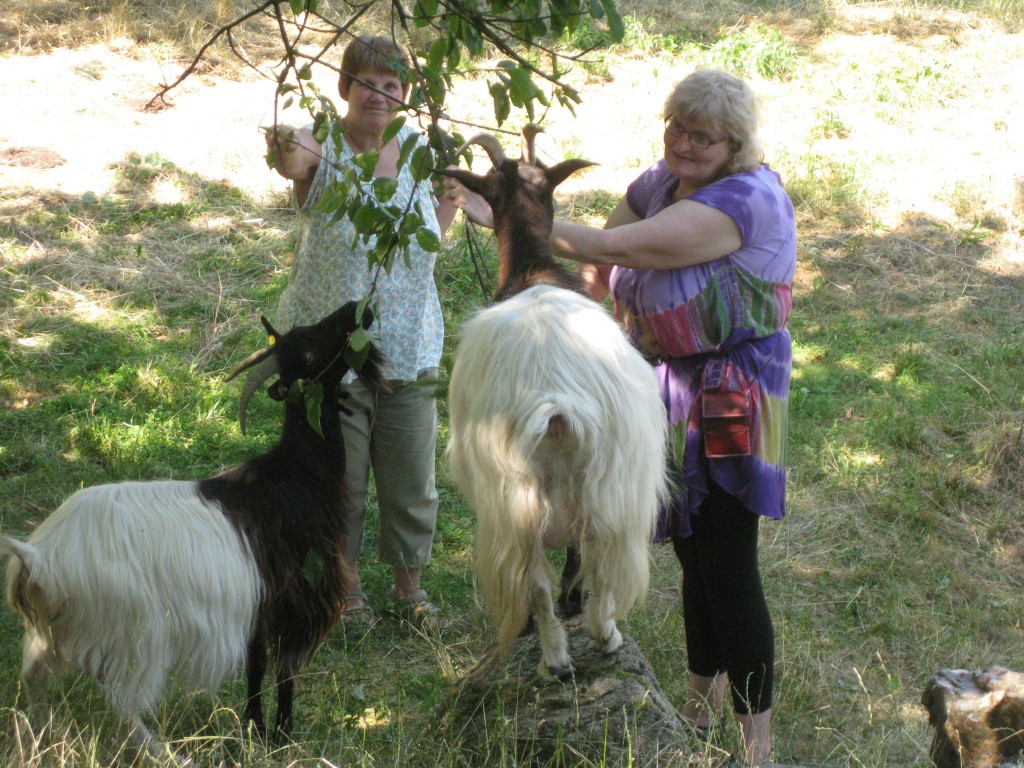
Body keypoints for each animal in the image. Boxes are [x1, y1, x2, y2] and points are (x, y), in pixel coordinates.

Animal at [1, 303, 385, 765]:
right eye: (308, 355)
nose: (356, 310)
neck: (295, 476)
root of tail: (37, 559)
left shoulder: (259, 603)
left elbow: (255, 665)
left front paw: (253, 729)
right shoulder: (294, 600)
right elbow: (283, 672)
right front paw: (283, 735)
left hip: (53, 632)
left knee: (33, 679)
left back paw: (39, 739)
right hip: (135, 634)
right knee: (121, 705)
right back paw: (165, 753)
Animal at [440, 126, 671, 679]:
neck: (534, 268)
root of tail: (555, 398)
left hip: (514, 494)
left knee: (541, 577)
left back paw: (557, 657)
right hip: (607, 480)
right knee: (593, 559)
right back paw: (597, 638)